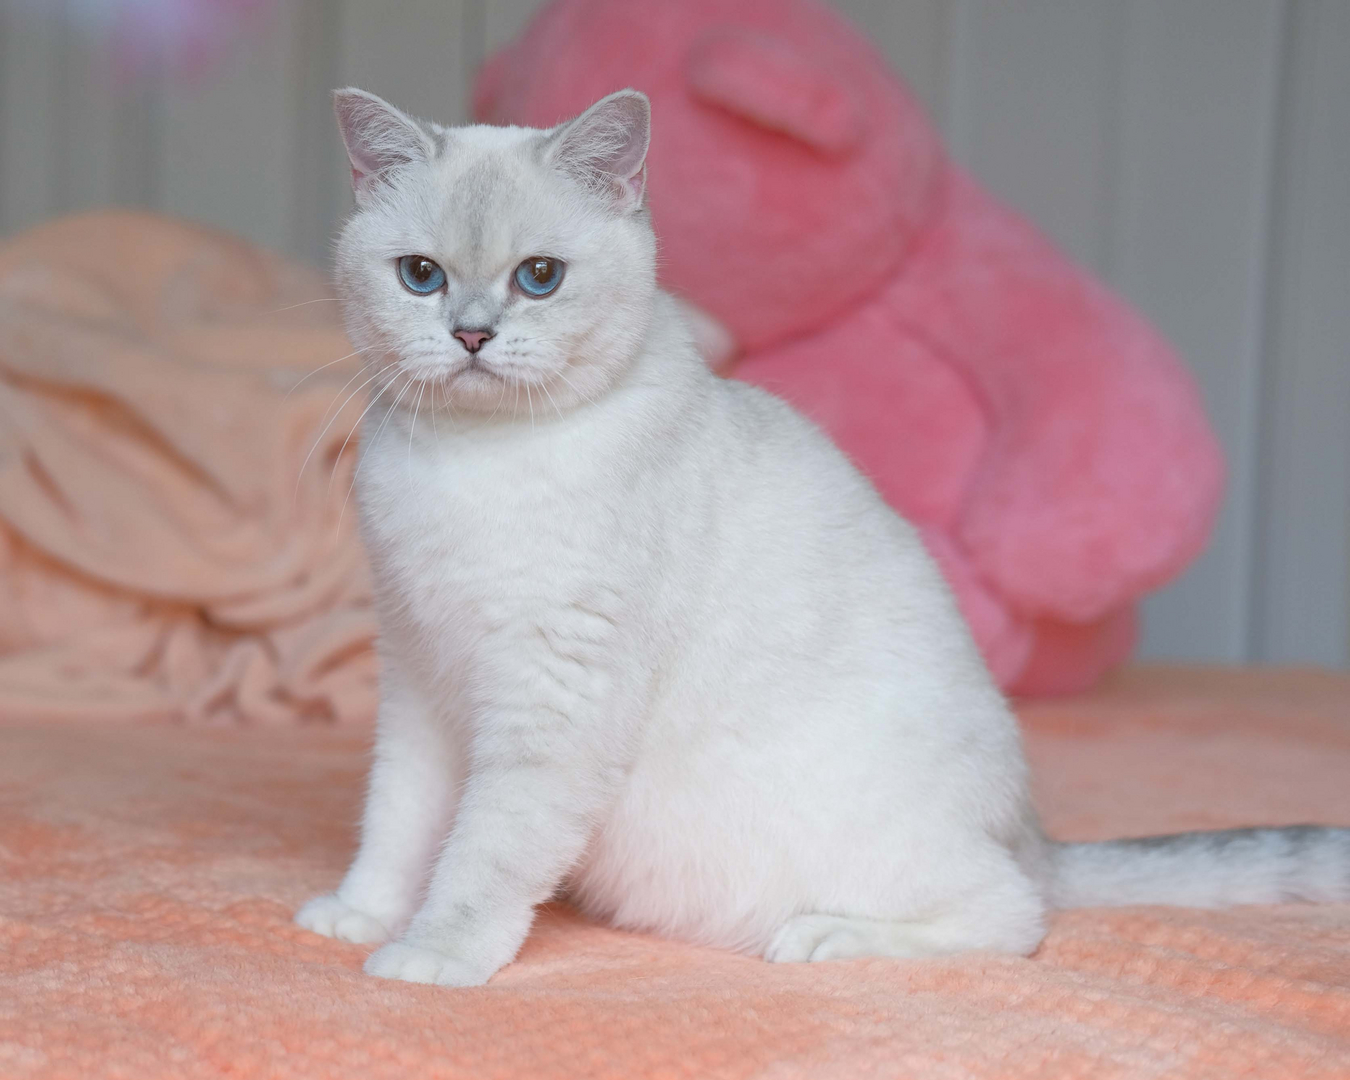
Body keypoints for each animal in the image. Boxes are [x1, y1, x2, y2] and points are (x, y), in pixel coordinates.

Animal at [298, 88, 1350, 982]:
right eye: (421, 277)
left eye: (540, 279)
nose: (472, 335)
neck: (469, 462)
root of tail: (1033, 834)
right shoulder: (421, 680)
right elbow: (397, 822)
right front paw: (362, 916)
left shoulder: (548, 701)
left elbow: (482, 854)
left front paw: (431, 956)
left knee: (1016, 916)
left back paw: (831, 937)